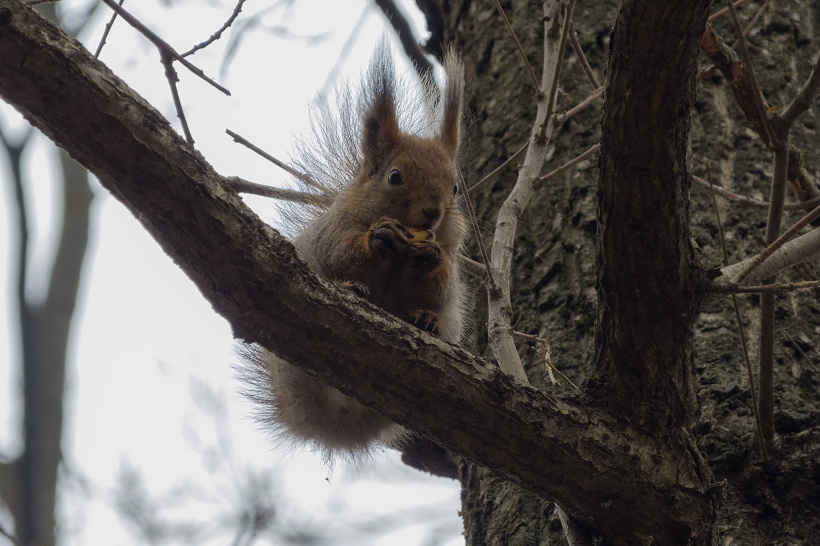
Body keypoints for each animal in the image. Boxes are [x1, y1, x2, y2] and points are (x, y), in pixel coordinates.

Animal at [239, 44, 469, 462]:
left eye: (456, 187)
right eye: (394, 176)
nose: (434, 211)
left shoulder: (450, 260)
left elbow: (440, 286)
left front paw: (430, 258)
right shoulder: (334, 231)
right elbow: (340, 254)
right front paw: (378, 238)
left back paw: (427, 323)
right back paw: (353, 291)